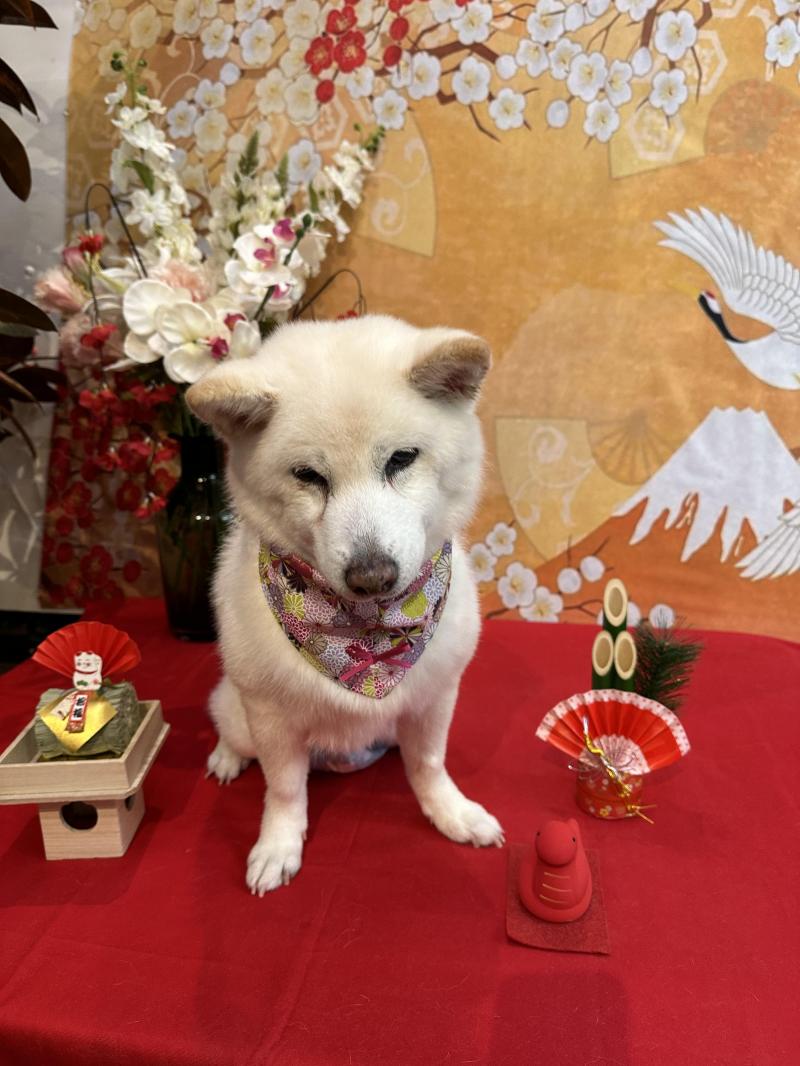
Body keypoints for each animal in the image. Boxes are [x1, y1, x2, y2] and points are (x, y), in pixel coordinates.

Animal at [186, 314, 504, 895]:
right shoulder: (272, 720)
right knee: (229, 728)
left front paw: (450, 812)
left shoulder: (434, 698)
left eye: (401, 459)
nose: (372, 574)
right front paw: (279, 845)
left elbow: (429, 766)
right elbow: (284, 791)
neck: (367, 635)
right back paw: (225, 757)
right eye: (308, 475)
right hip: (239, 712)